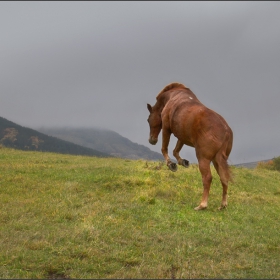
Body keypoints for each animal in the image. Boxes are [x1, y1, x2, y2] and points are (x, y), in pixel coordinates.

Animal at [148, 82, 233, 210]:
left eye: (148, 120)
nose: (151, 140)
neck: (173, 96)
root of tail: (226, 130)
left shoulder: (166, 128)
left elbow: (164, 148)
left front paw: (171, 164)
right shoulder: (182, 135)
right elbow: (176, 150)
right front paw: (182, 161)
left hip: (204, 158)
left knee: (207, 178)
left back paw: (202, 205)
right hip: (218, 160)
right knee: (224, 179)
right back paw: (222, 205)